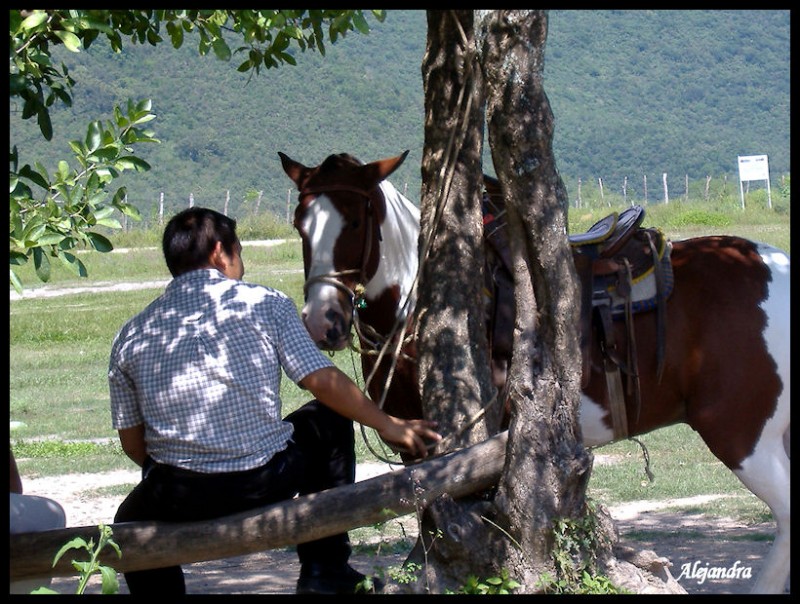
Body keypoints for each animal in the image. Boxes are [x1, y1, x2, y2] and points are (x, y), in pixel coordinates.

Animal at [278, 151, 792, 596]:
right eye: (300, 223)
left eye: (355, 221)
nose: (322, 321)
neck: (421, 303)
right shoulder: (412, 442)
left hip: (743, 435)